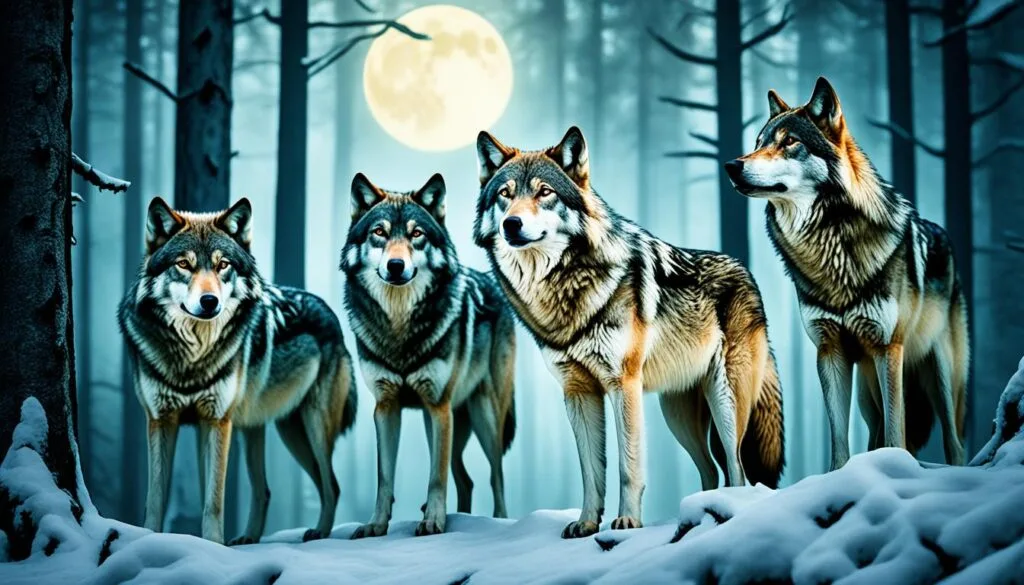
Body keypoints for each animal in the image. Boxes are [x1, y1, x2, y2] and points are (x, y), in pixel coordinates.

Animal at [118, 197, 357, 544]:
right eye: (184, 264)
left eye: (223, 265)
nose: (209, 301)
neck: (193, 357)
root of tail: (332, 314)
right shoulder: (163, 420)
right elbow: (156, 497)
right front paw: (151, 539)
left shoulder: (217, 420)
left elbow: (213, 500)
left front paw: (213, 546)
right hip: (266, 429)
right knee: (266, 490)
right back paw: (249, 538)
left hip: (310, 427)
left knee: (333, 486)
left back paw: (319, 534)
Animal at [341, 172, 517, 538]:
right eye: (379, 232)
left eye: (416, 234)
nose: (396, 266)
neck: (399, 329)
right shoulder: (387, 407)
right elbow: (384, 477)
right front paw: (376, 525)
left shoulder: (438, 406)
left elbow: (436, 476)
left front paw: (434, 521)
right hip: (442, 419)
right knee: (465, 480)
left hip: (484, 416)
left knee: (496, 475)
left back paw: (498, 522)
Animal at [473, 126, 785, 538]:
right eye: (505, 195)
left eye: (544, 192)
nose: (511, 224)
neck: (564, 287)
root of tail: (746, 271)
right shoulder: (578, 392)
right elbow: (591, 472)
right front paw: (587, 523)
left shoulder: (624, 384)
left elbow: (627, 465)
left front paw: (627, 522)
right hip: (678, 416)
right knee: (710, 469)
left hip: (726, 405)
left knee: (737, 470)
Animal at [725, 77, 968, 469]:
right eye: (758, 143)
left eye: (789, 142)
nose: (733, 165)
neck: (832, 245)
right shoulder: (830, 351)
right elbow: (839, 441)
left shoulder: (888, 348)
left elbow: (897, 434)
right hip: (869, 393)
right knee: (874, 435)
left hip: (941, 373)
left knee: (955, 442)